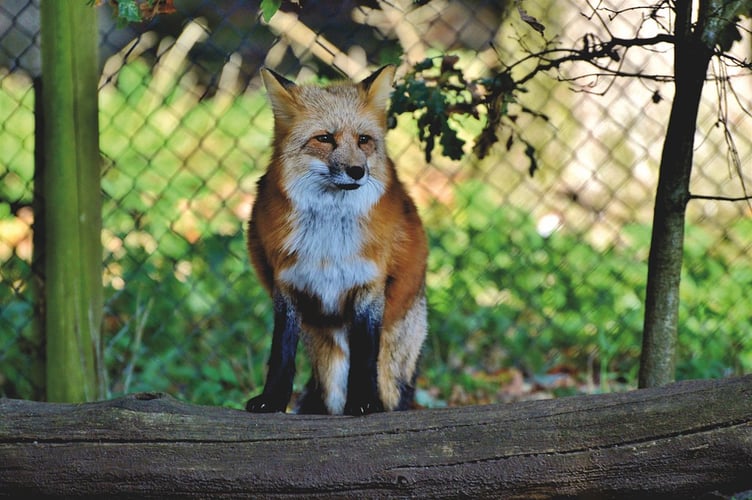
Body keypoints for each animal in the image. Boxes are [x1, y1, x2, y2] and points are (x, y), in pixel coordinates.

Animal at [245, 65, 428, 416]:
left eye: (363, 140)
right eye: (325, 138)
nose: (357, 171)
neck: (328, 243)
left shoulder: (369, 288)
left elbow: (364, 358)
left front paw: (365, 403)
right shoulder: (287, 285)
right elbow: (281, 355)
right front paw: (271, 400)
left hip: (392, 365)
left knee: (395, 393)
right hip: (327, 364)